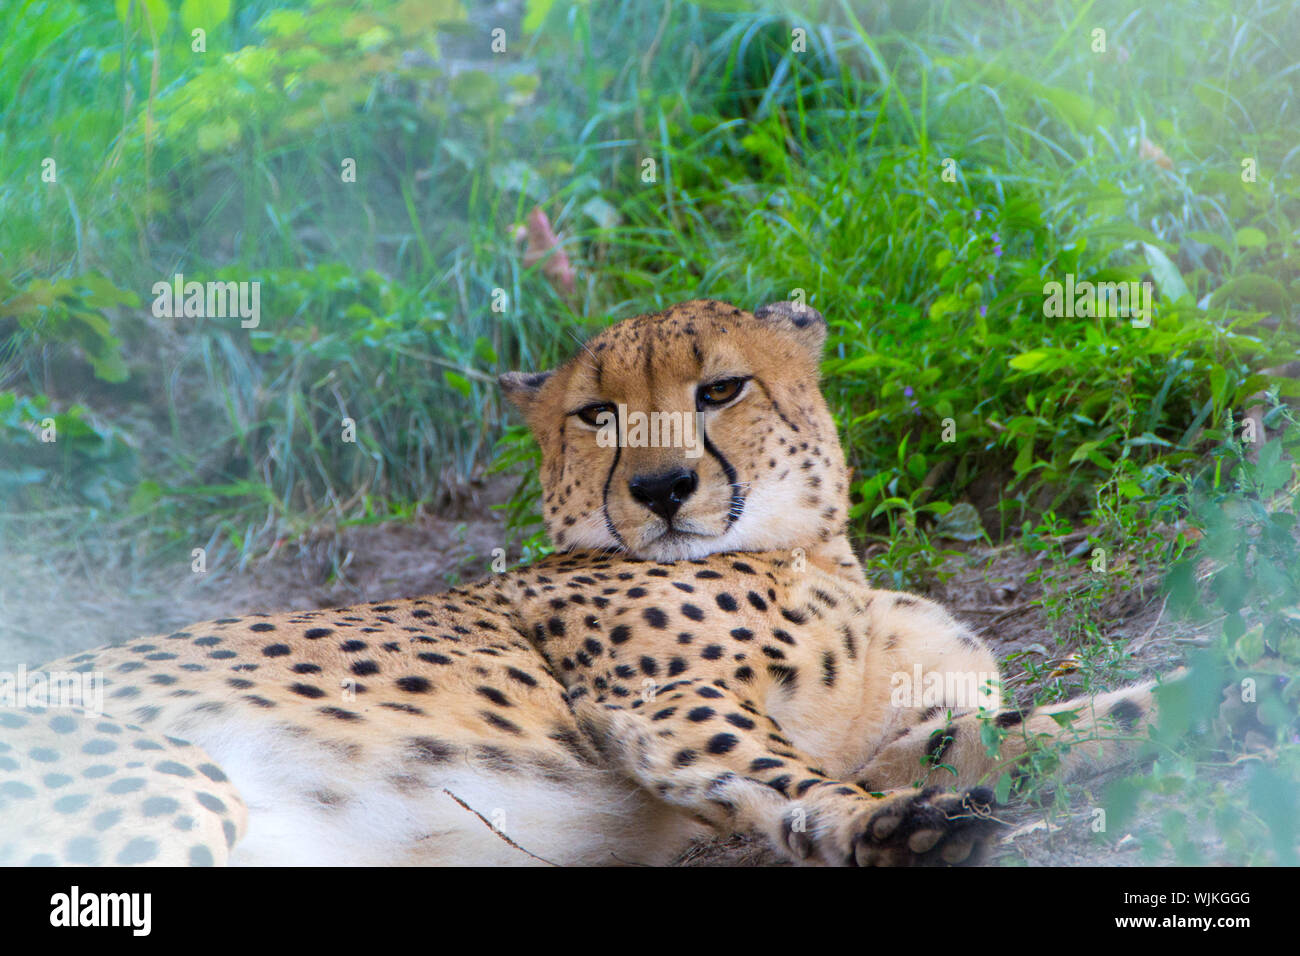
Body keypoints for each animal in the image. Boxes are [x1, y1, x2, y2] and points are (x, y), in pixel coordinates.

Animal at [0, 299, 1159, 868]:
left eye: (720, 388)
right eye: (596, 414)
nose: (661, 486)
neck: (810, 552)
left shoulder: (889, 728)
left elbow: (1042, 728)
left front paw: (1184, 701)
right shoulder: (661, 701)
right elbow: (785, 773)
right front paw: (885, 827)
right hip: (171, 780)